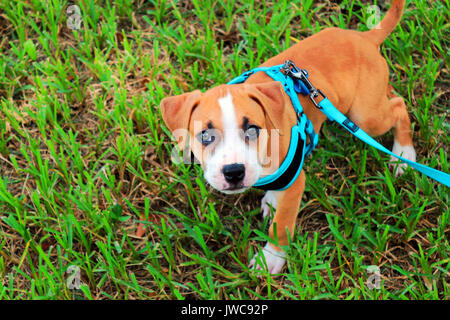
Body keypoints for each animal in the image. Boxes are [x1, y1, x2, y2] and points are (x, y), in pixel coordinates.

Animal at [161, 0, 414, 276]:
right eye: (205, 135)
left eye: (252, 130)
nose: (234, 171)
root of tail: (365, 37)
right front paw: (272, 199)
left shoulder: (295, 182)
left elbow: (281, 225)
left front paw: (271, 257)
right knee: (392, 96)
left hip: (364, 116)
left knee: (399, 107)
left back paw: (403, 154)